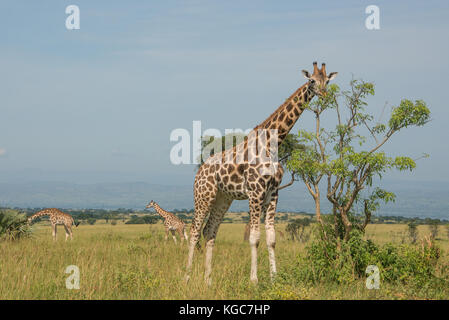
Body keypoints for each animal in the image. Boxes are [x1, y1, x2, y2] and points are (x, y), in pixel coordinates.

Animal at [185, 61, 336, 284]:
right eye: (311, 81)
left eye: (326, 81)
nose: (325, 94)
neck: (273, 144)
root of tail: (200, 172)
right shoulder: (255, 192)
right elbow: (254, 237)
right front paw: (254, 280)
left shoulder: (273, 193)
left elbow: (271, 238)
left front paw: (274, 279)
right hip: (204, 195)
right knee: (195, 231)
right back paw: (186, 277)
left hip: (223, 198)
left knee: (209, 231)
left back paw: (208, 281)